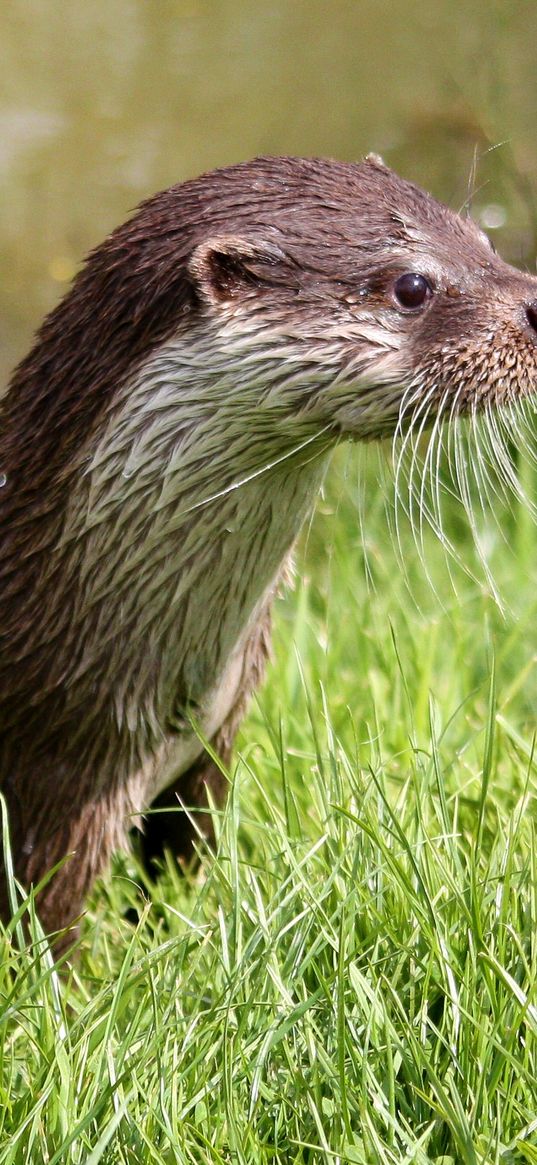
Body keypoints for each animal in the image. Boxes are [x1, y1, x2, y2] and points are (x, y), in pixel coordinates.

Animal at [1, 152, 535, 936]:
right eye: (411, 286)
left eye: (482, 240)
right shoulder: (55, 780)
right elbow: (44, 925)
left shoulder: (212, 746)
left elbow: (184, 858)